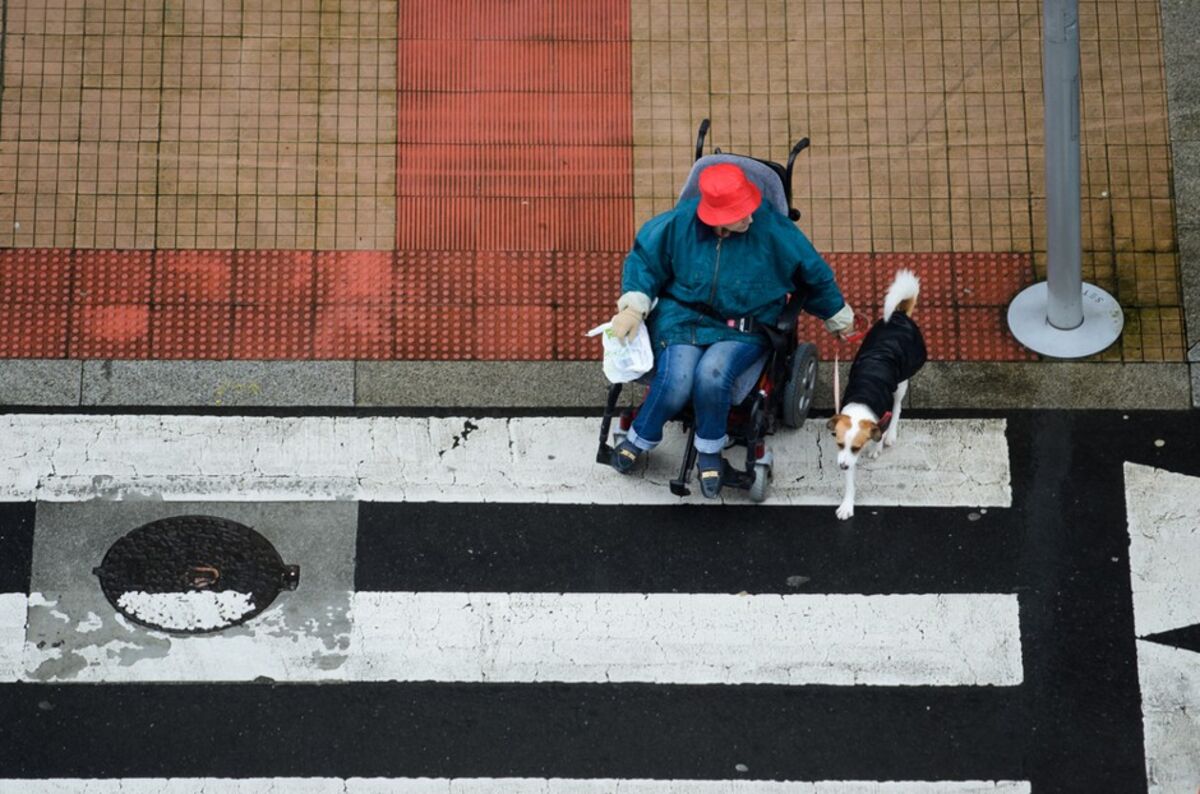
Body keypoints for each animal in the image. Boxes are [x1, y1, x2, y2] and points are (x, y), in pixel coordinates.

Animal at [825, 271, 926, 522]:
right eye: (838, 443)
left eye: (857, 447)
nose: (841, 467)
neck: (863, 399)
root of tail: (899, 315)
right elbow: (850, 484)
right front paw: (847, 504)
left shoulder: (881, 416)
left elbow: (881, 429)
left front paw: (877, 446)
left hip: (901, 382)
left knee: (898, 407)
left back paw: (890, 435)